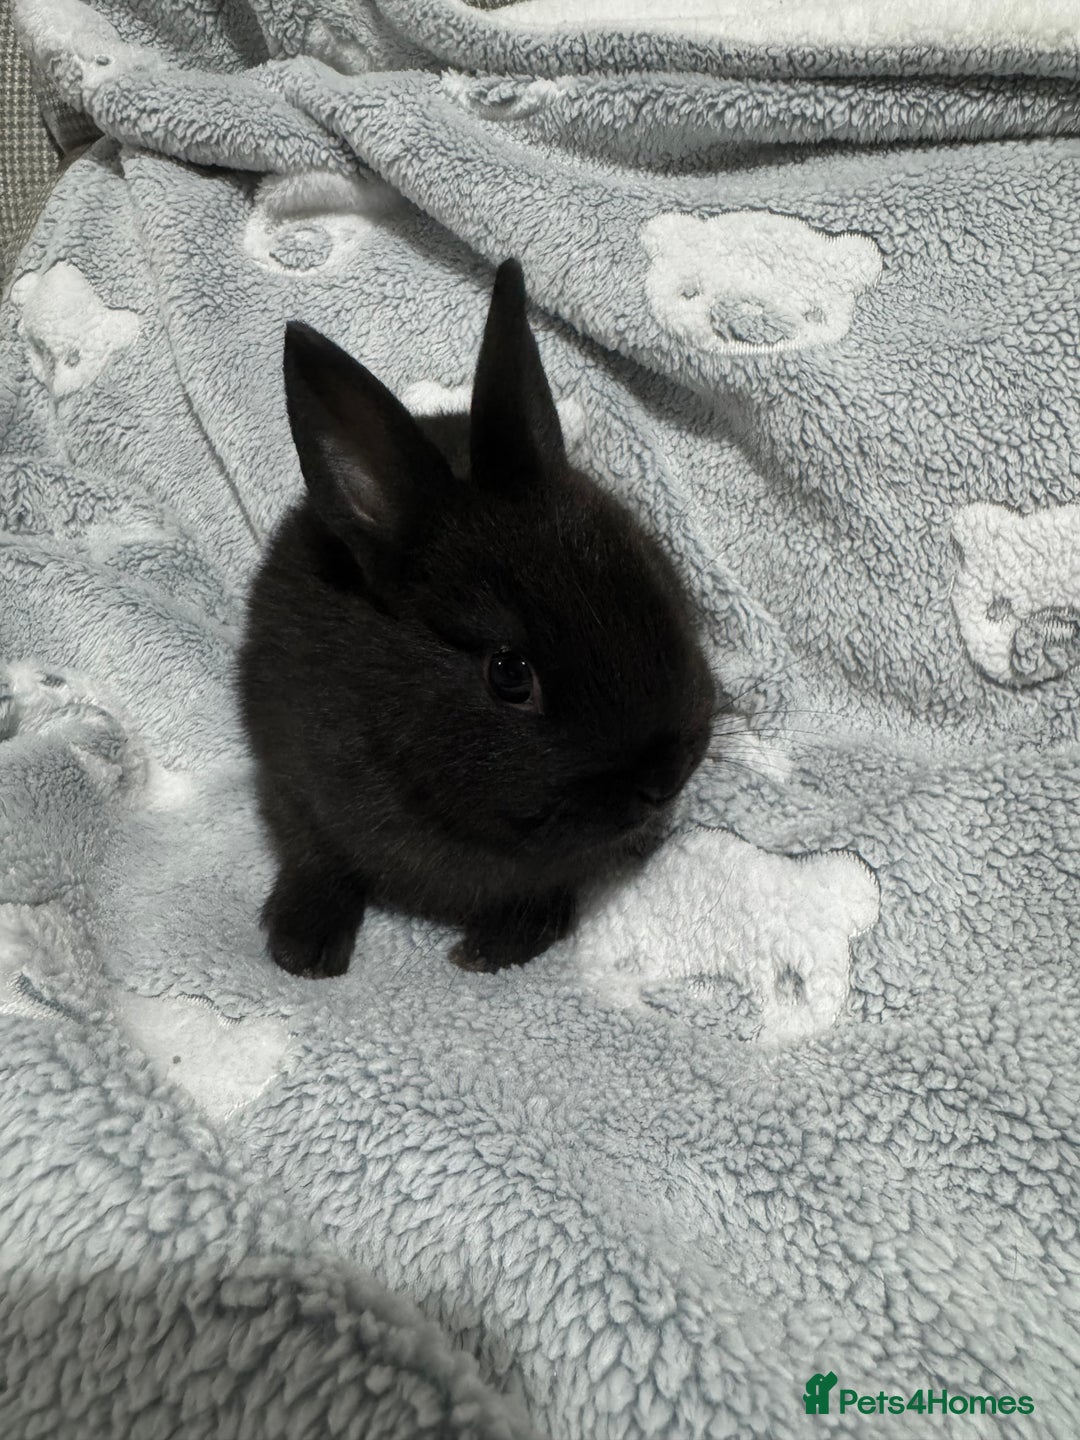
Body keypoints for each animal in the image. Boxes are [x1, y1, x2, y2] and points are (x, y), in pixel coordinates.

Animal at [238, 258, 716, 977]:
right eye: (509, 674)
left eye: (651, 573)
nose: (663, 779)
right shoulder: (293, 783)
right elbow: (316, 857)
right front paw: (303, 948)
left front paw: (496, 947)